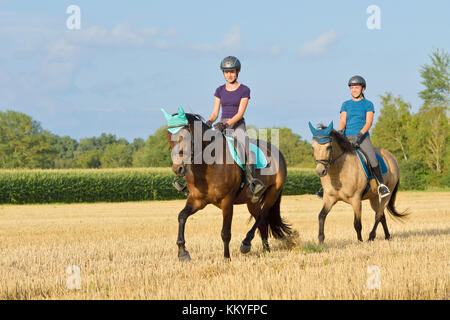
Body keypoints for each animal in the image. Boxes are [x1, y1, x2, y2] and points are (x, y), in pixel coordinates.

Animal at [162, 106, 292, 262]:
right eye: (169, 138)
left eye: (185, 137)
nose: (178, 169)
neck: (208, 166)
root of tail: (278, 152)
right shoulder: (197, 200)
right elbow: (181, 217)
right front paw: (182, 253)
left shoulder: (227, 202)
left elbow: (225, 232)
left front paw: (226, 258)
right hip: (251, 201)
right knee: (261, 221)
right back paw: (266, 249)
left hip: (273, 193)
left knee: (262, 216)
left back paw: (246, 243)